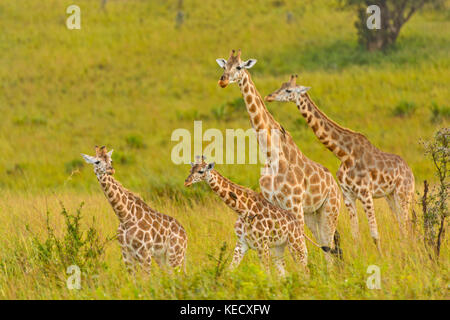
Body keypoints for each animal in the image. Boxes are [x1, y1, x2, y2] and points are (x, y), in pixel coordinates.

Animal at [217, 48, 342, 262]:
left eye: (239, 67)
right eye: (224, 66)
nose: (223, 80)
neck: (271, 155)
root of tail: (335, 185)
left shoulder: (294, 204)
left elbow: (301, 250)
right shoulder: (275, 204)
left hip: (329, 210)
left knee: (328, 244)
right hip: (313, 214)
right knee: (326, 245)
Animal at [266, 75, 416, 252]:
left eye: (289, 90)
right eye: (281, 85)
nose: (269, 96)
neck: (343, 154)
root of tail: (411, 173)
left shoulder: (365, 193)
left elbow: (374, 234)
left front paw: (380, 256)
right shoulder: (348, 195)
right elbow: (355, 235)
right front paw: (359, 256)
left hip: (403, 193)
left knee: (405, 225)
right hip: (390, 196)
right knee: (403, 224)